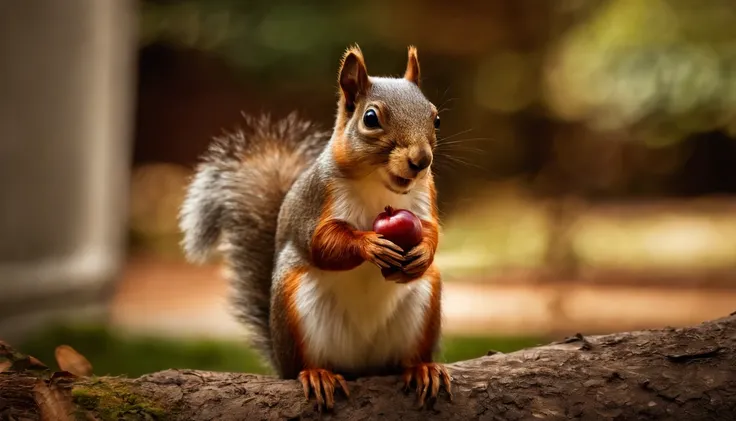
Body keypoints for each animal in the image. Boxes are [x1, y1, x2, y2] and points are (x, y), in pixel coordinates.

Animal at [181, 44, 452, 408]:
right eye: (370, 118)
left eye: (435, 118)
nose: (421, 161)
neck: (380, 185)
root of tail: (362, 365)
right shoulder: (318, 198)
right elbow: (322, 243)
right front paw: (369, 244)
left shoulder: (425, 194)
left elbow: (431, 229)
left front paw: (423, 250)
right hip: (296, 308)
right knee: (303, 364)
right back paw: (318, 374)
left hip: (423, 306)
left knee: (408, 356)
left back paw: (422, 368)